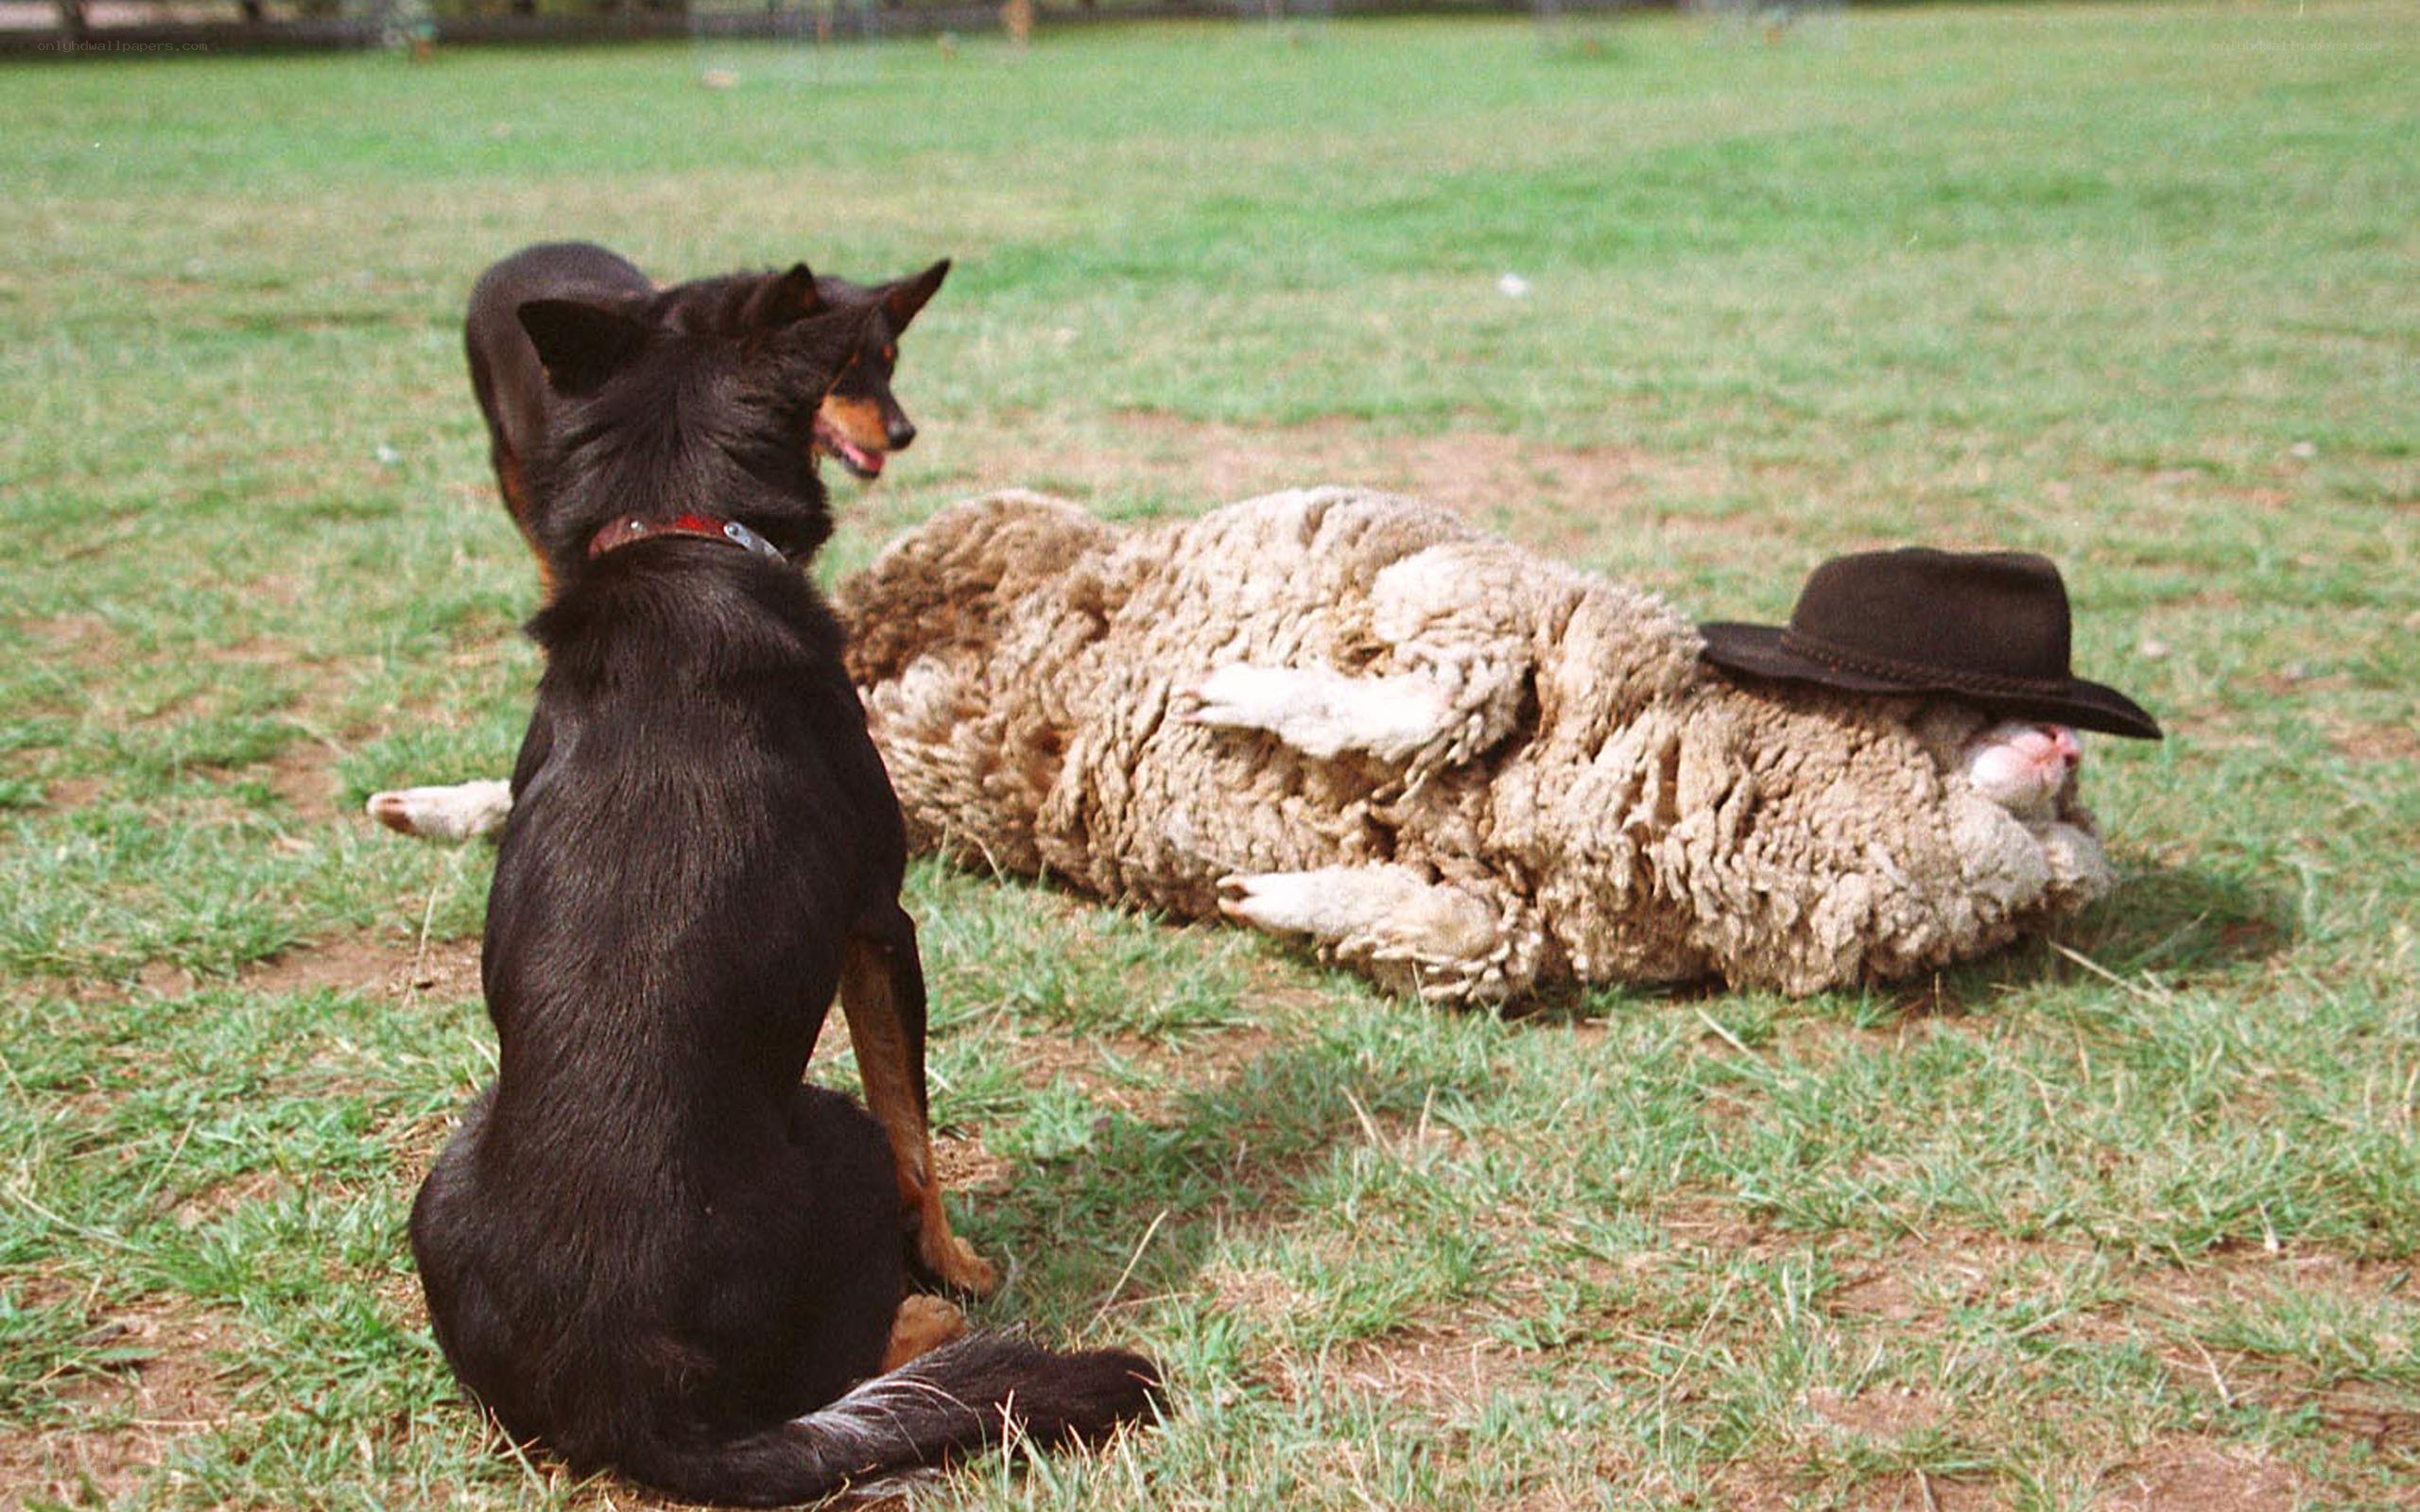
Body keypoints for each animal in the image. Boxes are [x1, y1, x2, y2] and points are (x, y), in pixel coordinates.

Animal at [834, 486, 2117, 1005]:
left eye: (2076, 816)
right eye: (1949, 702)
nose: (2063, 744)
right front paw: (1239, 694)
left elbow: (1462, 941)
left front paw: (1274, 893)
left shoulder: (1515, 924)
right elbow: (1437, 703)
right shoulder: (1479, 599)